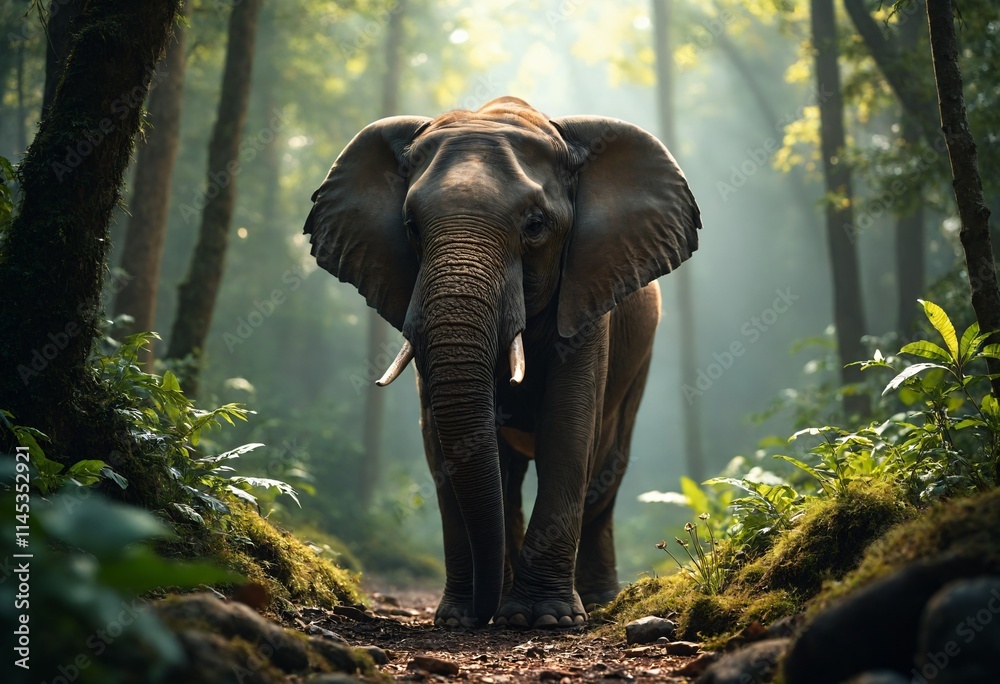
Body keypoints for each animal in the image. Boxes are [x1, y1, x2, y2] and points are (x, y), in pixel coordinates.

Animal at [304, 96, 701, 628]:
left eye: (535, 225)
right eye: (410, 227)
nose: (481, 613)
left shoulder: (588, 299)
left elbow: (569, 428)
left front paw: (546, 620)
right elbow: (442, 440)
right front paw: (458, 618)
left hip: (641, 360)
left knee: (606, 467)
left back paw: (597, 602)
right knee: (510, 477)